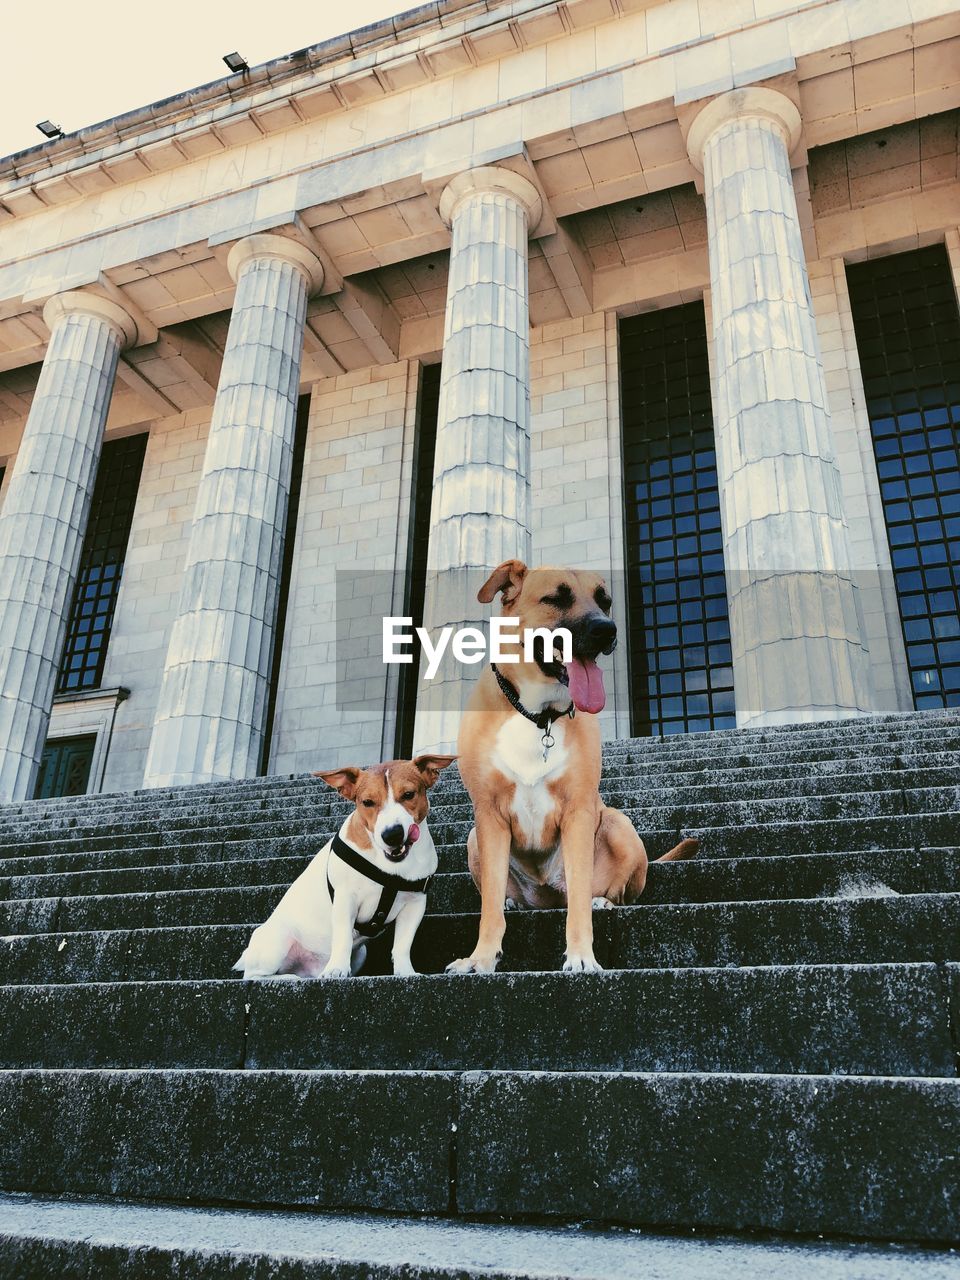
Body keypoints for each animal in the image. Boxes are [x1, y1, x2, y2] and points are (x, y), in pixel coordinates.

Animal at [235, 757, 455, 977]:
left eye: (408, 794)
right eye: (367, 802)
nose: (392, 834)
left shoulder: (415, 904)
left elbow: (402, 945)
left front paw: (406, 972)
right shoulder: (345, 898)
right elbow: (343, 938)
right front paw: (336, 969)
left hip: (361, 953)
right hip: (276, 944)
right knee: (256, 975)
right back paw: (292, 978)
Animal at [448, 563, 696, 977]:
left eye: (605, 601)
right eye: (556, 598)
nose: (606, 630)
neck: (537, 715)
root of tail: (548, 896)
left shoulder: (579, 812)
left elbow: (579, 901)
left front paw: (581, 955)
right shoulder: (488, 814)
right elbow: (489, 910)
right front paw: (481, 958)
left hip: (618, 824)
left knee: (609, 892)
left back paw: (604, 901)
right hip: (472, 840)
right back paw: (514, 903)